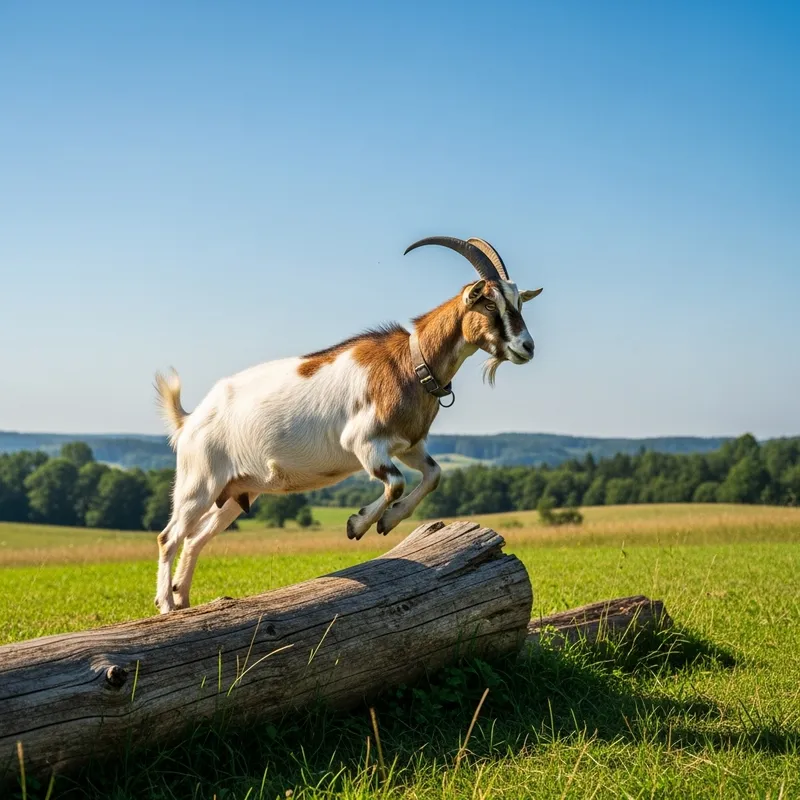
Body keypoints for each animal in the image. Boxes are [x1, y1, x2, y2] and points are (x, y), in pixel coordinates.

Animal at [153, 236, 543, 613]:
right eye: (489, 304)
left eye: (518, 303)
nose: (527, 347)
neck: (410, 362)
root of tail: (190, 420)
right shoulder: (363, 443)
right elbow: (396, 483)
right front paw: (359, 524)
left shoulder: (409, 445)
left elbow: (433, 475)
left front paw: (389, 521)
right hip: (198, 482)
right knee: (169, 536)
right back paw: (167, 605)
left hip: (234, 492)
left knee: (195, 538)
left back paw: (184, 601)